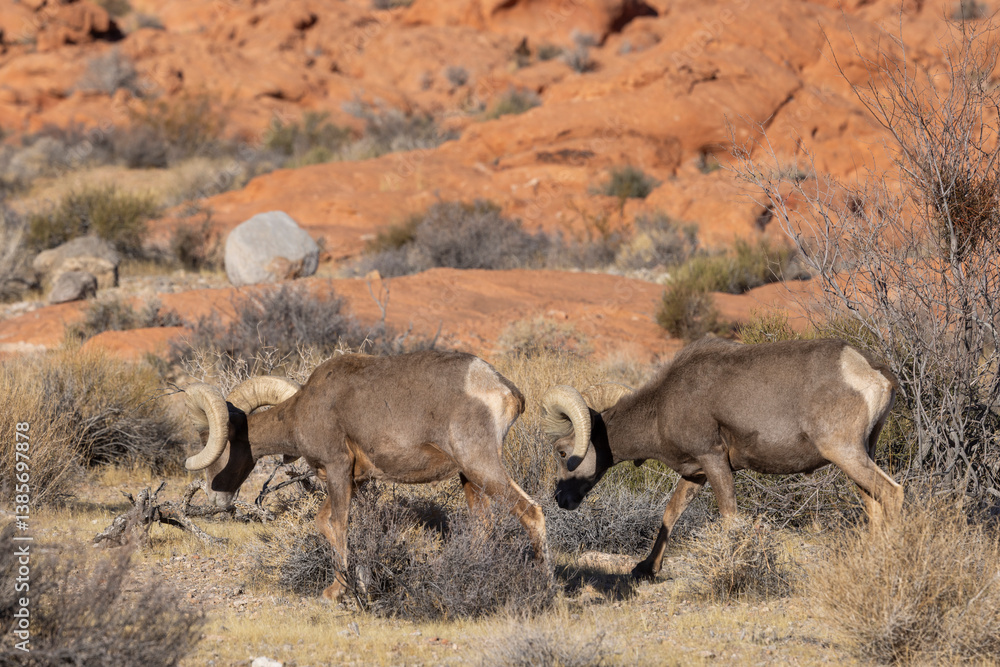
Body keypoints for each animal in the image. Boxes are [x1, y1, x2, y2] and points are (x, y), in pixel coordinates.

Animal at [184, 349, 548, 602]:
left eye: (216, 444)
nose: (215, 496)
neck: (305, 409)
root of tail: (504, 390)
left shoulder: (337, 468)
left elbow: (339, 524)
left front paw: (337, 592)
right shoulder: (352, 480)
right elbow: (324, 522)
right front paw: (354, 583)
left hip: (481, 466)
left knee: (531, 512)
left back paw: (545, 585)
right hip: (469, 478)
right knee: (483, 526)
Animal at [540, 337, 903, 580]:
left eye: (562, 452)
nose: (560, 499)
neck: (662, 408)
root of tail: (877, 374)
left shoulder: (714, 460)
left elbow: (729, 515)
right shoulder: (696, 473)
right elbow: (671, 513)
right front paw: (646, 569)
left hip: (844, 452)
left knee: (892, 493)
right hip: (860, 455)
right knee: (874, 504)